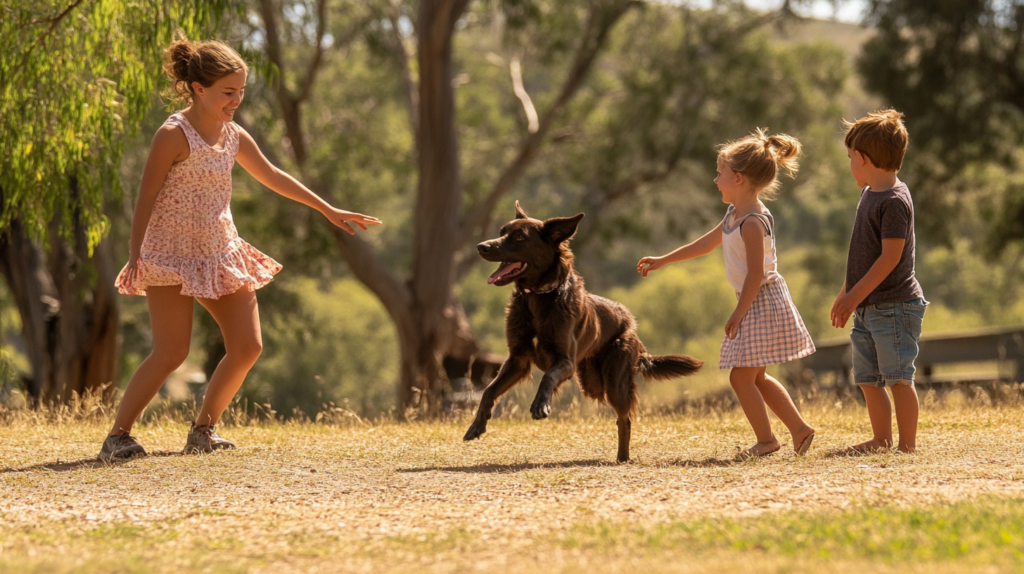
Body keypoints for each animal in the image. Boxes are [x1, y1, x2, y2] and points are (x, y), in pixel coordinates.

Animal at [464, 201, 704, 460]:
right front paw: (477, 425)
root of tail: (631, 324)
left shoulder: (565, 362)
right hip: (592, 382)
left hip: (613, 381)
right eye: (501, 232)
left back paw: (622, 458)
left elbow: (548, 377)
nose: (481, 246)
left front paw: (540, 405)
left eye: (519, 236)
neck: (540, 297)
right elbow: (489, 390)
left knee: (625, 418)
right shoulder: (518, 359)